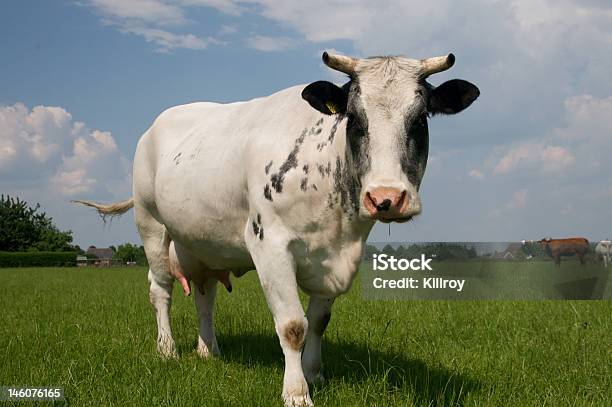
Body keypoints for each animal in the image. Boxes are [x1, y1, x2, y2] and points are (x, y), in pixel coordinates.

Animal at [75, 52, 478, 406]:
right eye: (355, 119)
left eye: (420, 120)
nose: (386, 197)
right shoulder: (270, 245)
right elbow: (293, 326)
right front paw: (297, 392)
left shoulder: (332, 258)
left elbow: (318, 322)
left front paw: (315, 375)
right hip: (152, 225)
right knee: (160, 290)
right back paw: (167, 350)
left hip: (202, 242)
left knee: (205, 296)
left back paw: (209, 350)